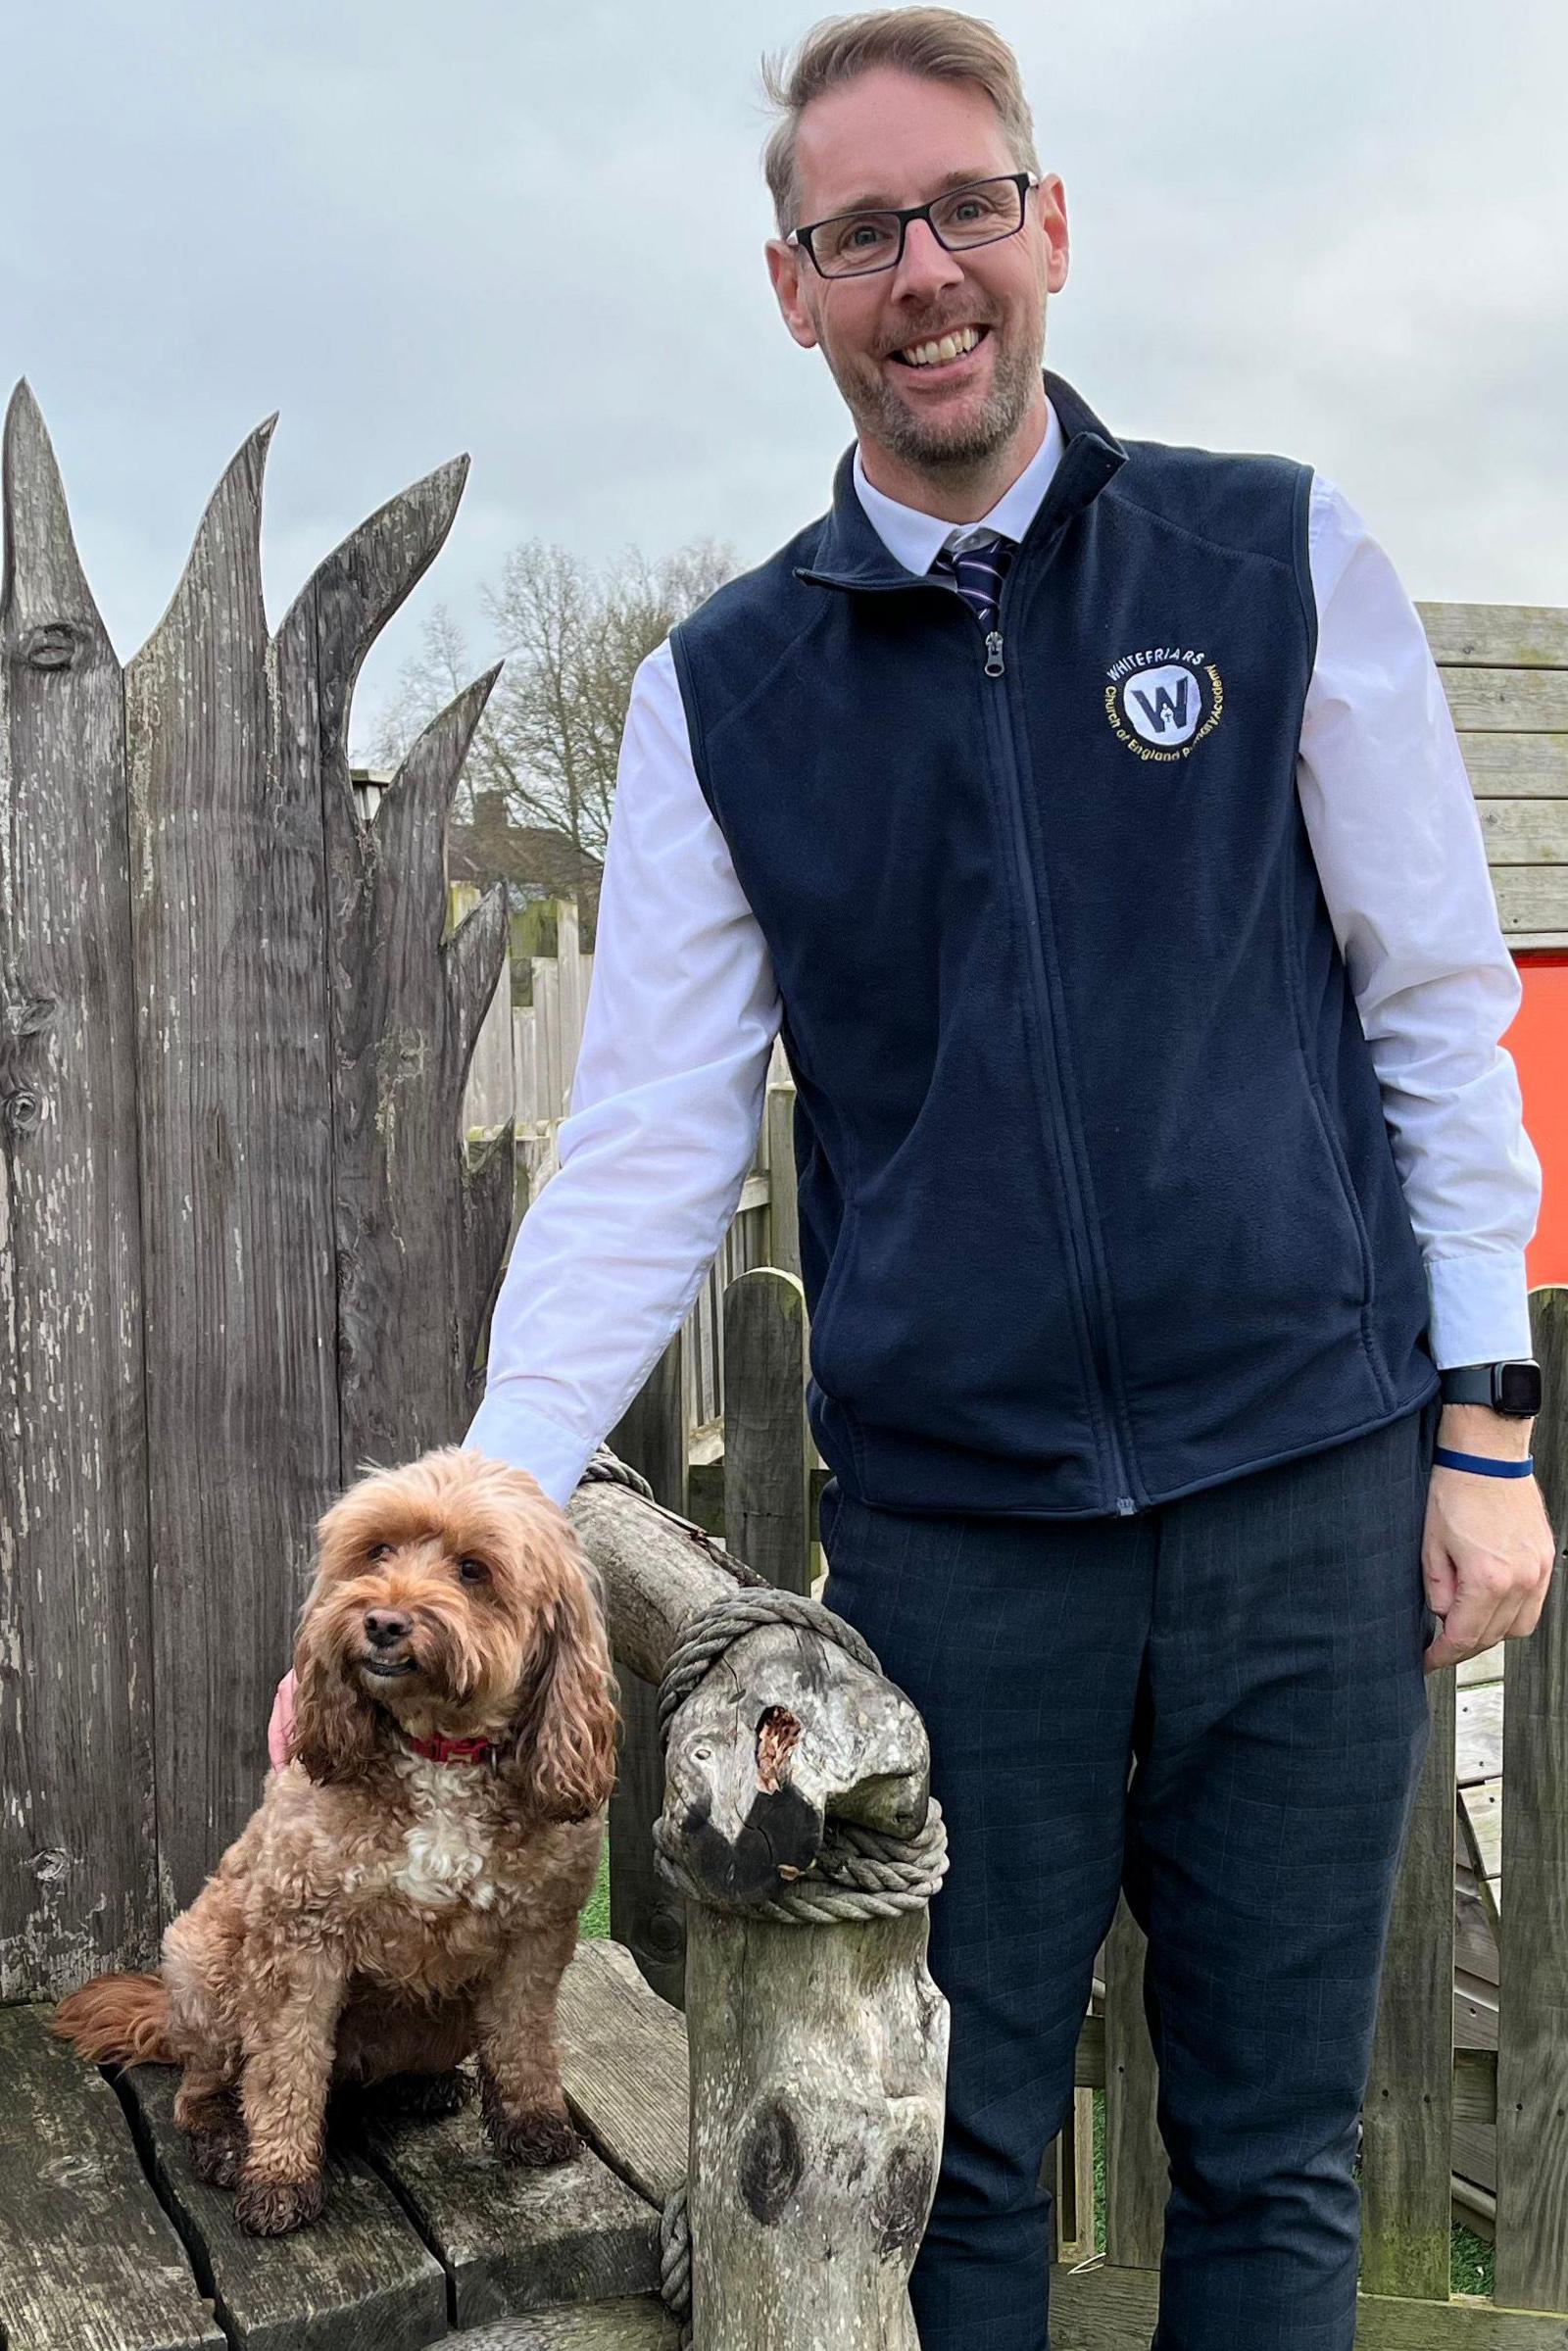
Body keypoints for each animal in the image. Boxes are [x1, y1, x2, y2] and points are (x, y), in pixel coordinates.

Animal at [55, 1447, 620, 2237]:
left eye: (473, 1569)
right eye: (376, 1550)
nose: (381, 1621)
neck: (438, 1750)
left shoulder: (536, 1936)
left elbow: (524, 2037)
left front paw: (533, 2122)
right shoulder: (300, 1938)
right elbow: (285, 2065)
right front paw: (281, 2178)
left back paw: (425, 2083)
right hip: (205, 1961)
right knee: (203, 2086)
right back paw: (224, 2139)